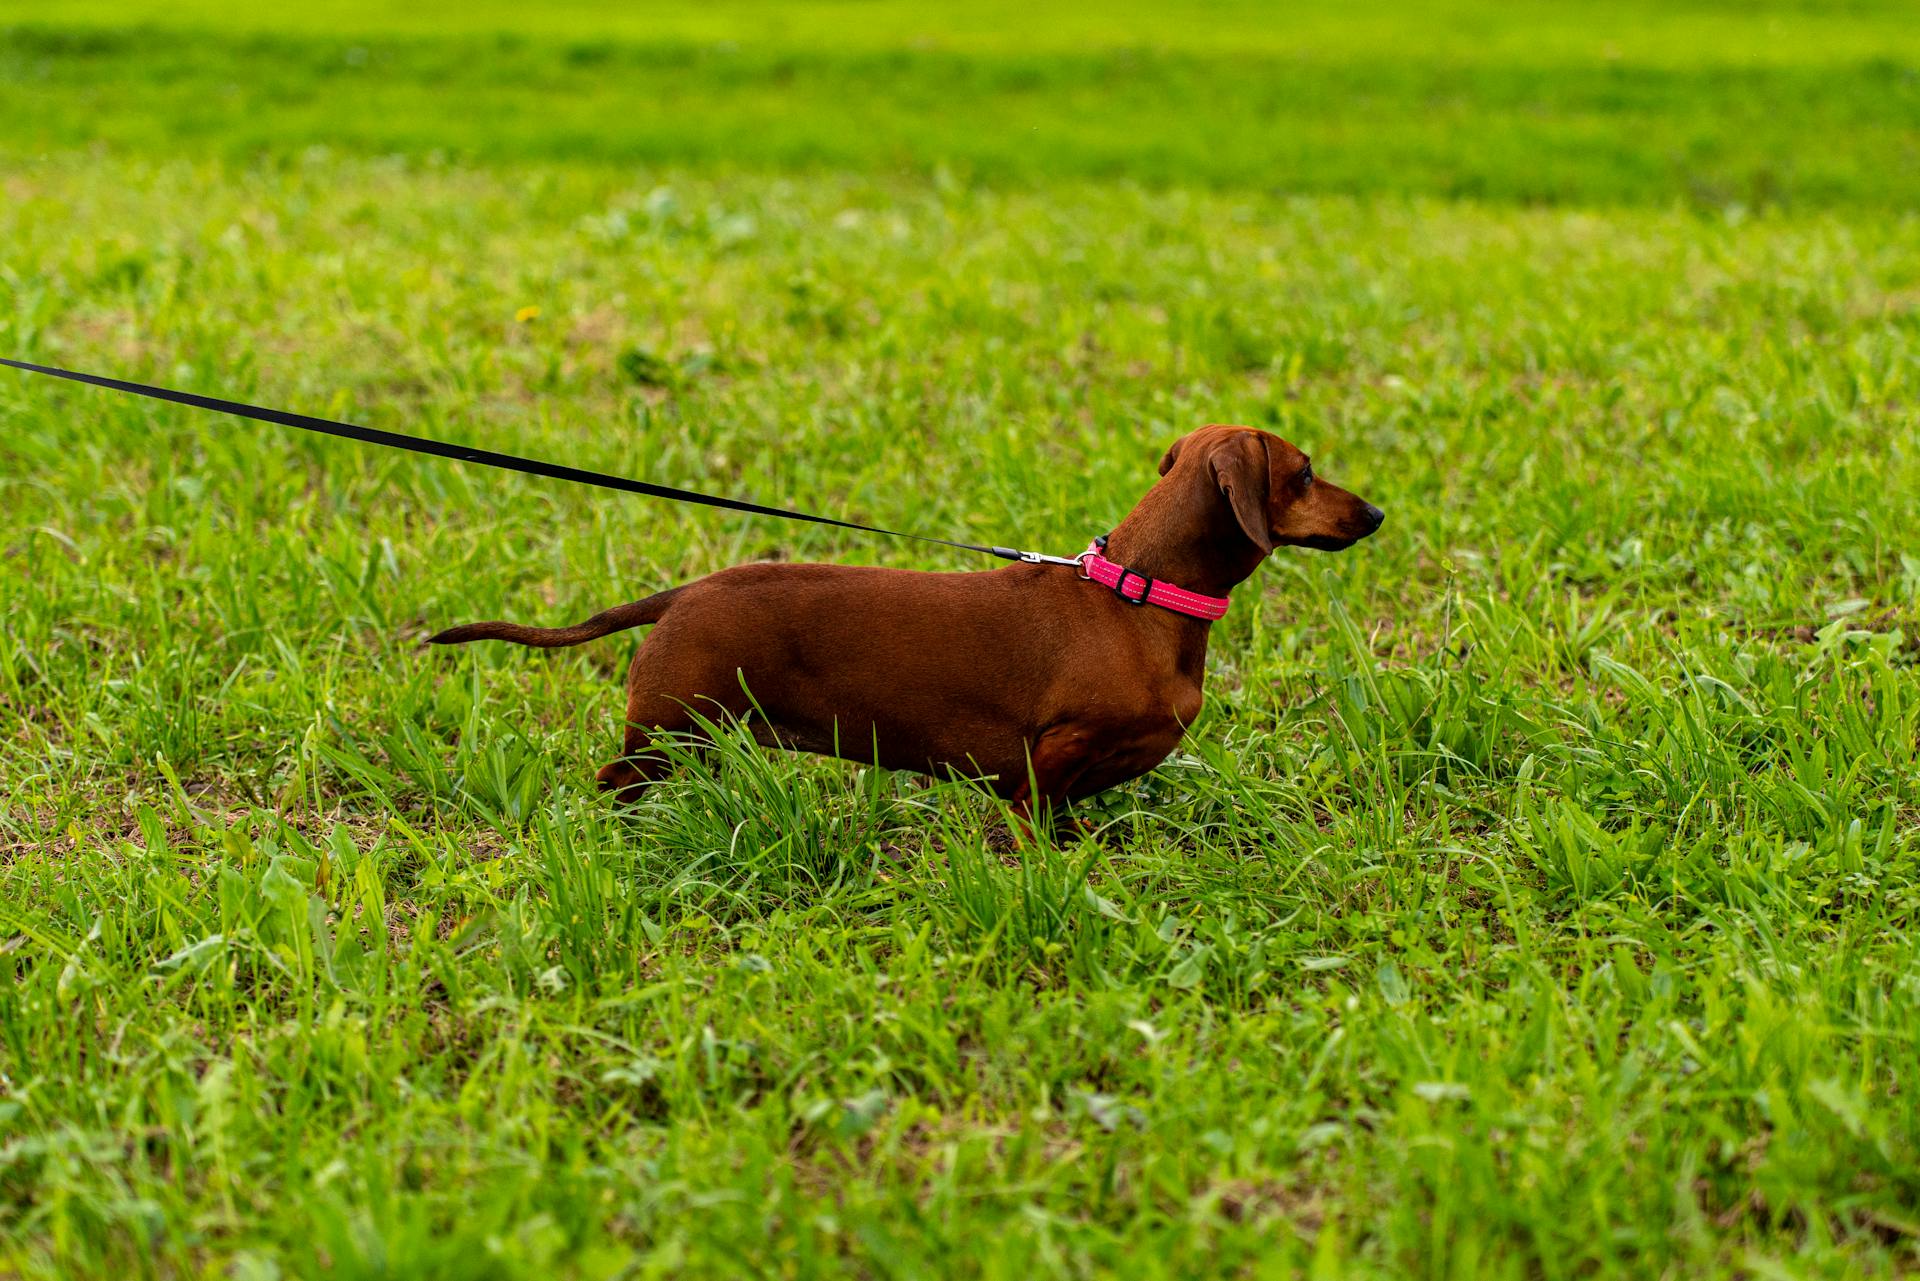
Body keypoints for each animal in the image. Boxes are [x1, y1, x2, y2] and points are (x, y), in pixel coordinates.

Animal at [432, 422, 1382, 821]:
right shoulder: (1050, 756)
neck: (1136, 597)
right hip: (671, 730)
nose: (1375, 513)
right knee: (612, 782)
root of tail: (685, 593)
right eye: (1304, 471)